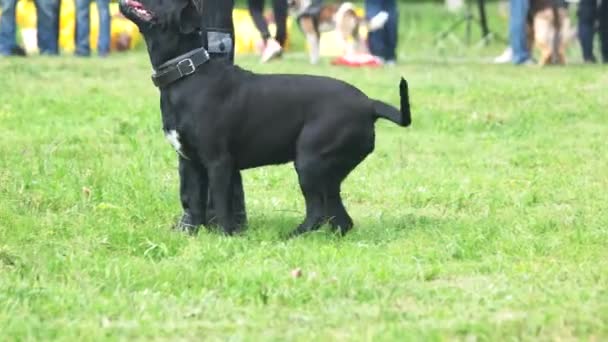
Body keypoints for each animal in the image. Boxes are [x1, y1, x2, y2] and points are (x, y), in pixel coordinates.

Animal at [117, 0, 414, 236]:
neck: (188, 74)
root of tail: (370, 104)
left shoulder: (218, 162)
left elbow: (222, 205)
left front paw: (224, 237)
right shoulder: (190, 161)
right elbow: (194, 201)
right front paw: (190, 234)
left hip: (310, 163)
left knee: (318, 211)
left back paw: (292, 236)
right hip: (326, 171)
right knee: (339, 218)